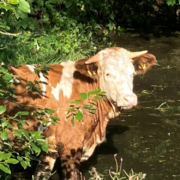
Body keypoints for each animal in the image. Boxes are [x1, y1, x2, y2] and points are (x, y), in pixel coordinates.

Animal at [0, 47, 156, 179]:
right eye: (108, 73)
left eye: (132, 73)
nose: (129, 99)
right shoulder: (70, 144)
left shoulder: (49, 146)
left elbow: (41, 174)